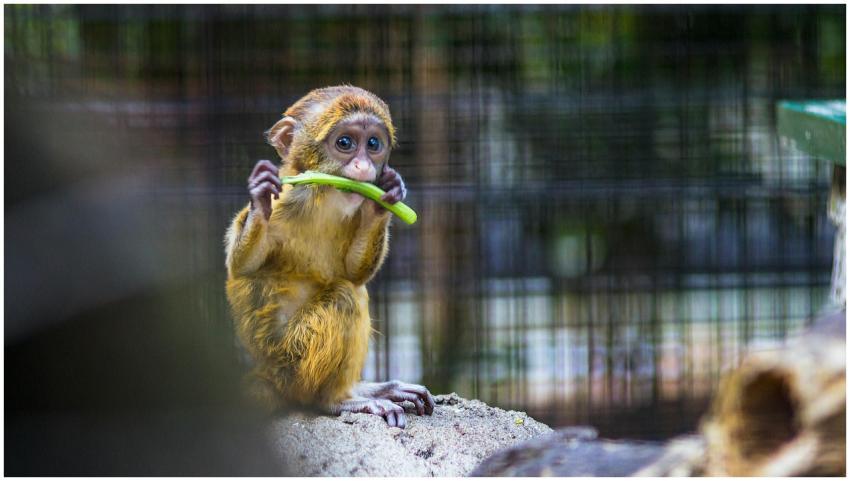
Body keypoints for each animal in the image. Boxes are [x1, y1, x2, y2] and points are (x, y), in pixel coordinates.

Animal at [224, 86, 435, 428]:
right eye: (345, 143)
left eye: (373, 144)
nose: (364, 167)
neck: (322, 197)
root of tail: (268, 375)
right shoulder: (287, 200)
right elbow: (243, 267)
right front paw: (260, 199)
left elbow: (353, 272)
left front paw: (384, 198)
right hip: (292, 362)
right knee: (345, 297)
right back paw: (335, 400)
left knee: (352, 289)